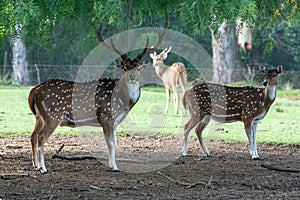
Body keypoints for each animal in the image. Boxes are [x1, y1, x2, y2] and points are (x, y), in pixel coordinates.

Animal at [28, 23, 168, 173]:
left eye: (139, 67)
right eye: (125, 67)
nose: (132, 76)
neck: (124, 102)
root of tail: (34, 91)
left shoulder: (115, 122)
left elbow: (114, 142)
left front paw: (112, 165)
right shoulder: (106, 117)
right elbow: (110, 143)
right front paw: (115, 167)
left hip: (39, 116)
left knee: (33, 135)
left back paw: (36, 166)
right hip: (52, 116)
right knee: (41, 136)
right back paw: (43, 168)